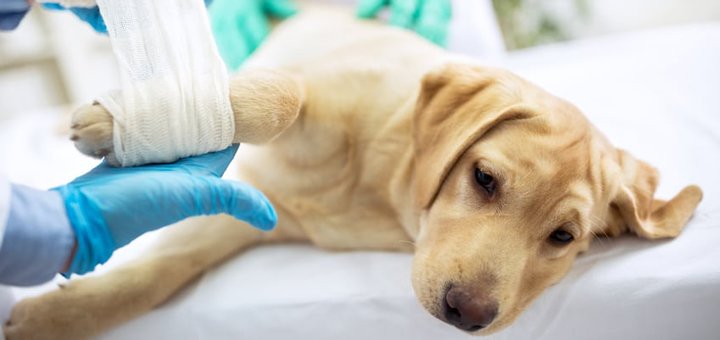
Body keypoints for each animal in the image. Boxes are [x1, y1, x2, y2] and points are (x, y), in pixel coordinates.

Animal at [2, 6, 700, 338]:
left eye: (563, 238)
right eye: (483, 178)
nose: (466, 314)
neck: (383, 189)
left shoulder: (248, 215)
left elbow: (159, 275)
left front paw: (55, 318)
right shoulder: (312, 85)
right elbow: (282, 94)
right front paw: (115, 124)